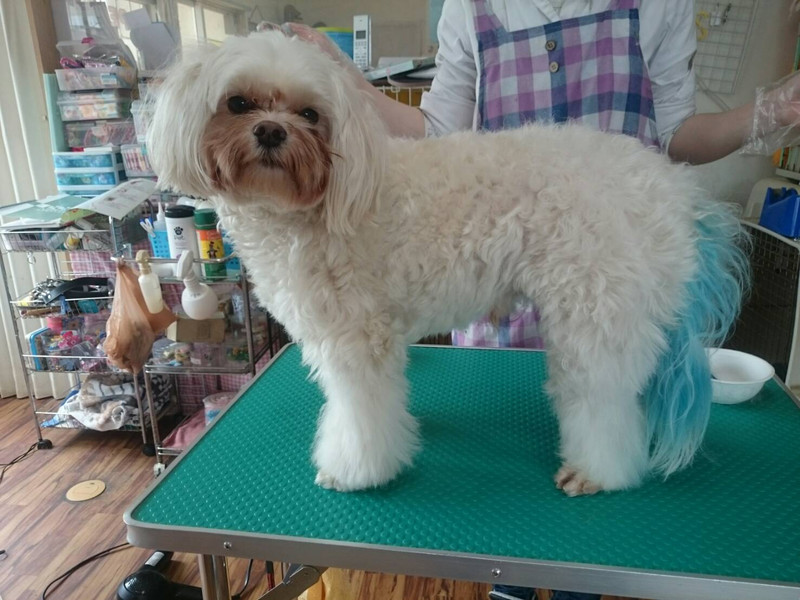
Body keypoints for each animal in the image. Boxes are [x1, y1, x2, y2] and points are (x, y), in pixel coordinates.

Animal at [147, 31, 748, 496]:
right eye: (238, 104)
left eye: (310, 114)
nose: (272, 131)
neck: (316, 207)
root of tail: (673, 189)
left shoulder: (355, 338)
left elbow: (358, 415)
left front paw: (355, 471)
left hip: (594, 308)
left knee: (602, 401)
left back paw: (597, 472)